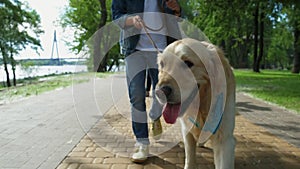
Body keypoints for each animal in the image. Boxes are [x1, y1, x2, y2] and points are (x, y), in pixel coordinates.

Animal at [155, 38, 237, 169]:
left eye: (188, 63)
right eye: (162, 64)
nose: (160, 92)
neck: (202, 105)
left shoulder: (225, 140)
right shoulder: (187, 131)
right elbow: (189, 158)